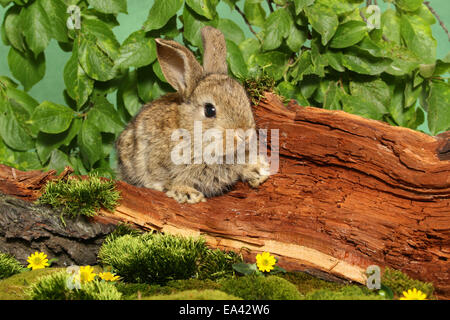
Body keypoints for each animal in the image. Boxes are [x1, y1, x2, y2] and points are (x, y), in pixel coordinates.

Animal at [117, 26, 270, 204]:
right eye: (209, 110)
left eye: (245, 99)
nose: (244, 135)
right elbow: (166, 181)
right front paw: (187, 194)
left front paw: (260, 170)